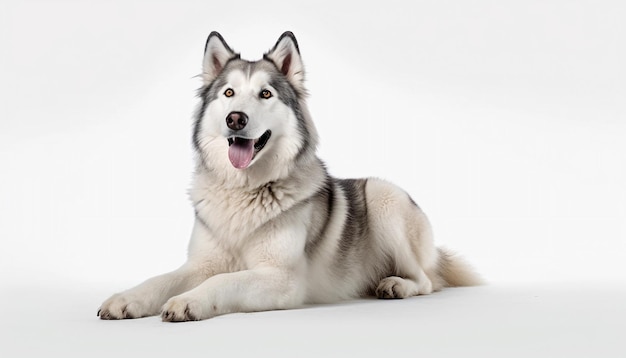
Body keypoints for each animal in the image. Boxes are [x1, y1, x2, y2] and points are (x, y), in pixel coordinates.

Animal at [97, 31, 480, 322]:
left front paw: (188, 301)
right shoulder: (201, 264)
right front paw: (126, 299)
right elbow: (160, 279)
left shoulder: (281, 279)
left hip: (384, 196)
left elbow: (223, 281)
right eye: (228, 93)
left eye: (265, 94)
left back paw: (396, 285)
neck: (245, 190)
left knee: (428, 281)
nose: (235, 118)